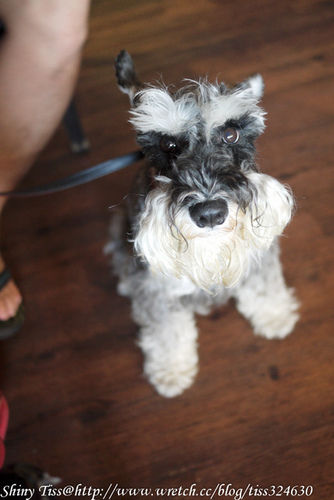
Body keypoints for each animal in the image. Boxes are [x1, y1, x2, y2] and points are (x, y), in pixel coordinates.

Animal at [105, 50, 300, 398]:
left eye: (231, 134)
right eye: (167, 145)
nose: (209, 213)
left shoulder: (258, 253)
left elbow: (265, 284)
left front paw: (274, 314)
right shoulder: (156, 288)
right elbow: (167, 330)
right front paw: (171, 370)